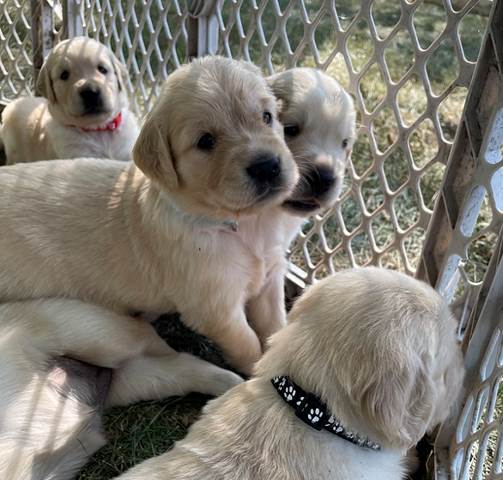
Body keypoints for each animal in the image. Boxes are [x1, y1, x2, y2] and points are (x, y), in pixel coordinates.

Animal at [0, 56, 300, 376]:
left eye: (267, 117)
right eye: (205, 141)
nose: (267, 166)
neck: (236, 223)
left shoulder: (269, 279)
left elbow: (274, 326)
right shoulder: (216, 308)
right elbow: (248, 345)